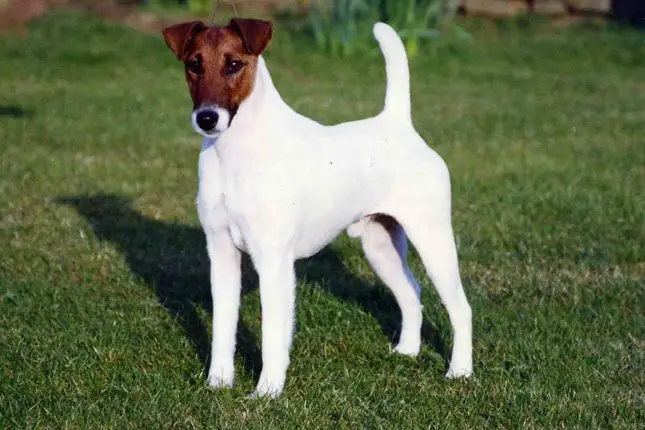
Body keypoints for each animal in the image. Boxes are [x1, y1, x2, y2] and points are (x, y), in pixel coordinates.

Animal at [161, 18, 472, 398]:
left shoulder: (273, 262)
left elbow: (272, 335)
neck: (236, 153)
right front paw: (218, 383)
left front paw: (266, 393)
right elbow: (223, 328)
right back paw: (407, 352)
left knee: (460, 308)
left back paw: (460, 371)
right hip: (380, 246)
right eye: (194, 64)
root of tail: (398, 123)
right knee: (411, 292)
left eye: (234, 64)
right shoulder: (221, 255)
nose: (207, 118)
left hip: (433, 240)